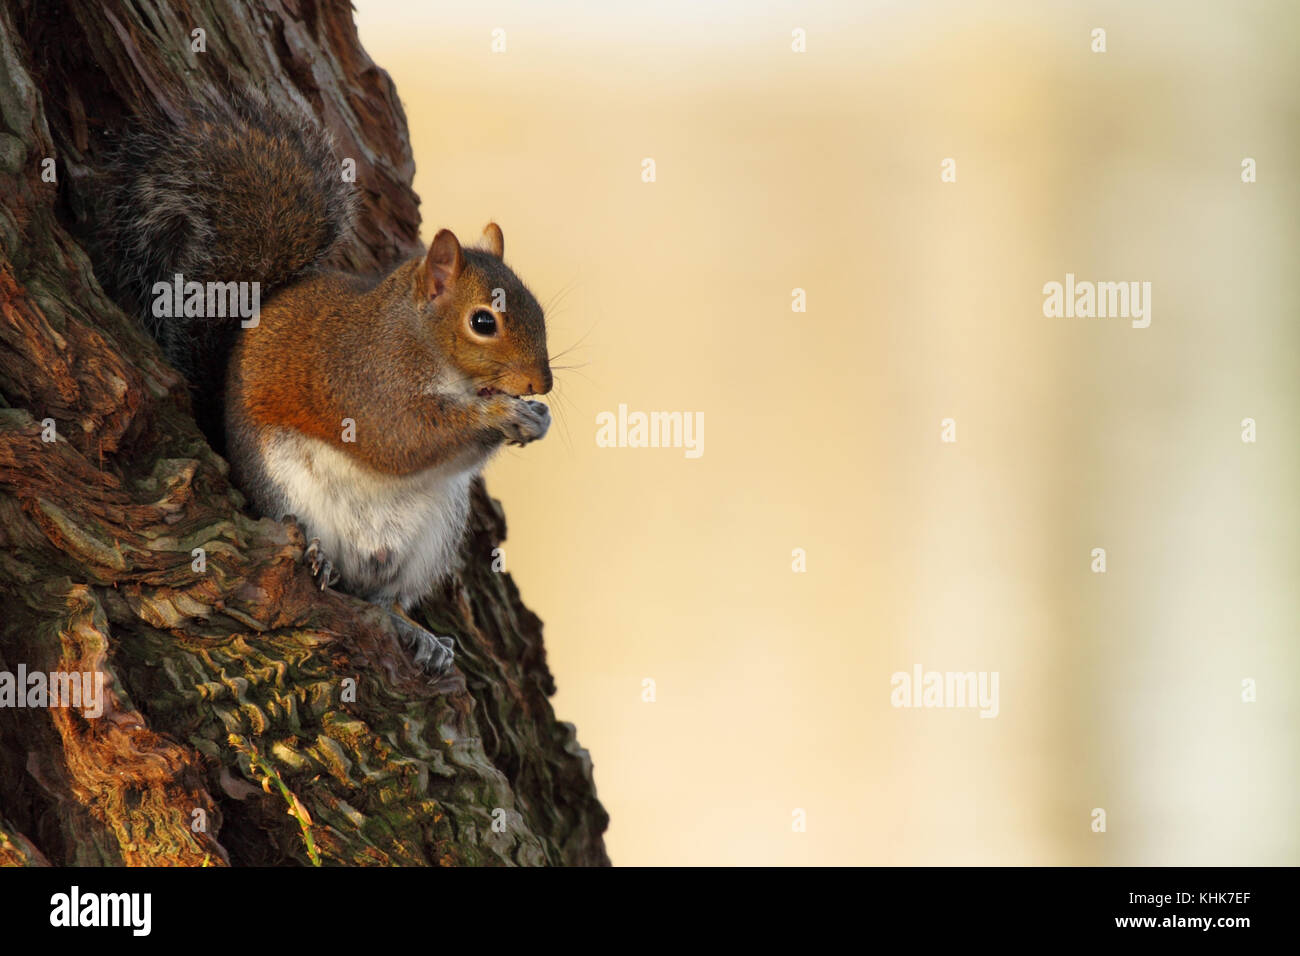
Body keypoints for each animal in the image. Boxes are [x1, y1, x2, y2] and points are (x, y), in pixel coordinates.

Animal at [96, 93, 553, 674]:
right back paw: (319, 560)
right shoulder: (365, 384)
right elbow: (402, 440)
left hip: (430, 540)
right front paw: (501, 415)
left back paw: (418, 633)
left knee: (383, 598)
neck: (420, 342)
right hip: (285, 484)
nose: (542, 384)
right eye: (482, 322)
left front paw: (535, 419)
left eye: (538, 308)